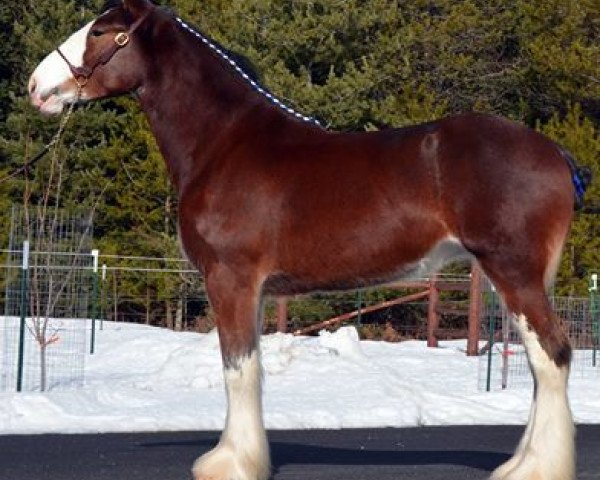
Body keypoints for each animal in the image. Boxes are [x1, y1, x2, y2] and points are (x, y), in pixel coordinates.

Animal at [28, 0, 592, 480]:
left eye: (100, 31)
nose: (36, 86)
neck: (224, 143)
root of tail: (556, 154)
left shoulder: (230, 278)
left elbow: (237, 368)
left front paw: (231, 464)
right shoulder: (253, 289)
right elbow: (250, 367)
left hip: (513, 271)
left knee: (552, 355)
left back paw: (533, 469)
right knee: (541, 362)